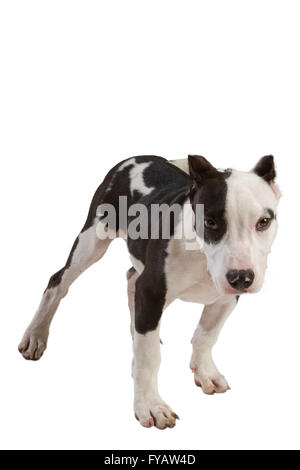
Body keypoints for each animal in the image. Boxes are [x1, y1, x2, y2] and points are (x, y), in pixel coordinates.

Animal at [18, 155, 282, 430]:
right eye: (210, 222)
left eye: (264, 222)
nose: (241, 277)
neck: (201, 256)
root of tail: (139, 158)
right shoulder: (152, 292)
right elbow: (149, 357)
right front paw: (151, 406)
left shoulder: (225, 298)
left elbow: (206, 335)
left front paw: (205, 372)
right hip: (91, 241)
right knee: (58, 282)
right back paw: (35, 336)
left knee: (130, 280)